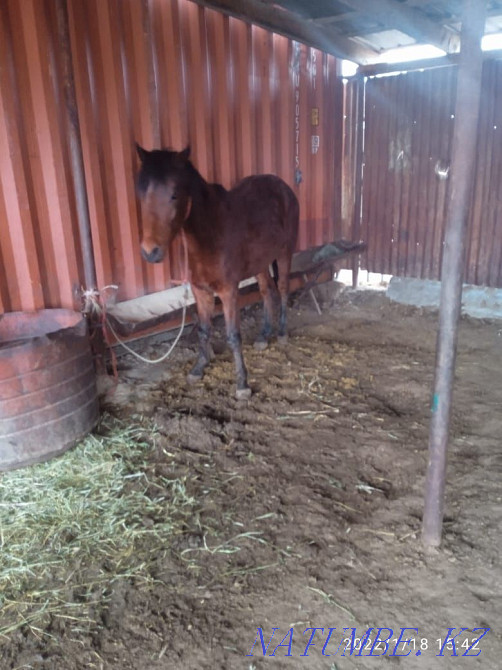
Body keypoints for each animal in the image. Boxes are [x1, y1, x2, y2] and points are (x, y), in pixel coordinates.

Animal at [135, 144, 299, 399]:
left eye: (174, 194)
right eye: (142, 194)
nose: (150, 252)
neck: (210, 234)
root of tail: (284, 187)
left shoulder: (228, 291)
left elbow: (233, 335)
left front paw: (242, 384)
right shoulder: (200, 291)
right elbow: (204, 330)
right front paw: (198, 368)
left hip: (284, 252)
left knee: (282, 288)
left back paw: (281, 333)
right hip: (260, 263)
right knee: (267, 291)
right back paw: (264, 336)